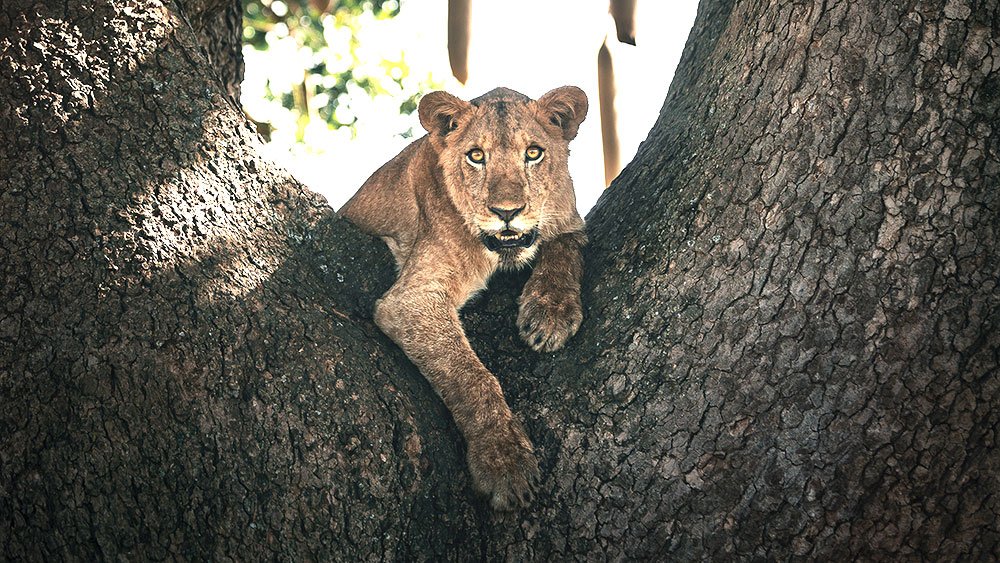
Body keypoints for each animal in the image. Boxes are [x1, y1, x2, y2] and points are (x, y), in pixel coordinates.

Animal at [342, 85, 584, 512]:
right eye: (476, 156)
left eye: (533, 153)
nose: (507, 212)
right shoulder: (412, 298)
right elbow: (471, 375)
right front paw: (505, 461)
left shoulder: (570, 221)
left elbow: (564, 247)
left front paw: (549, 314)